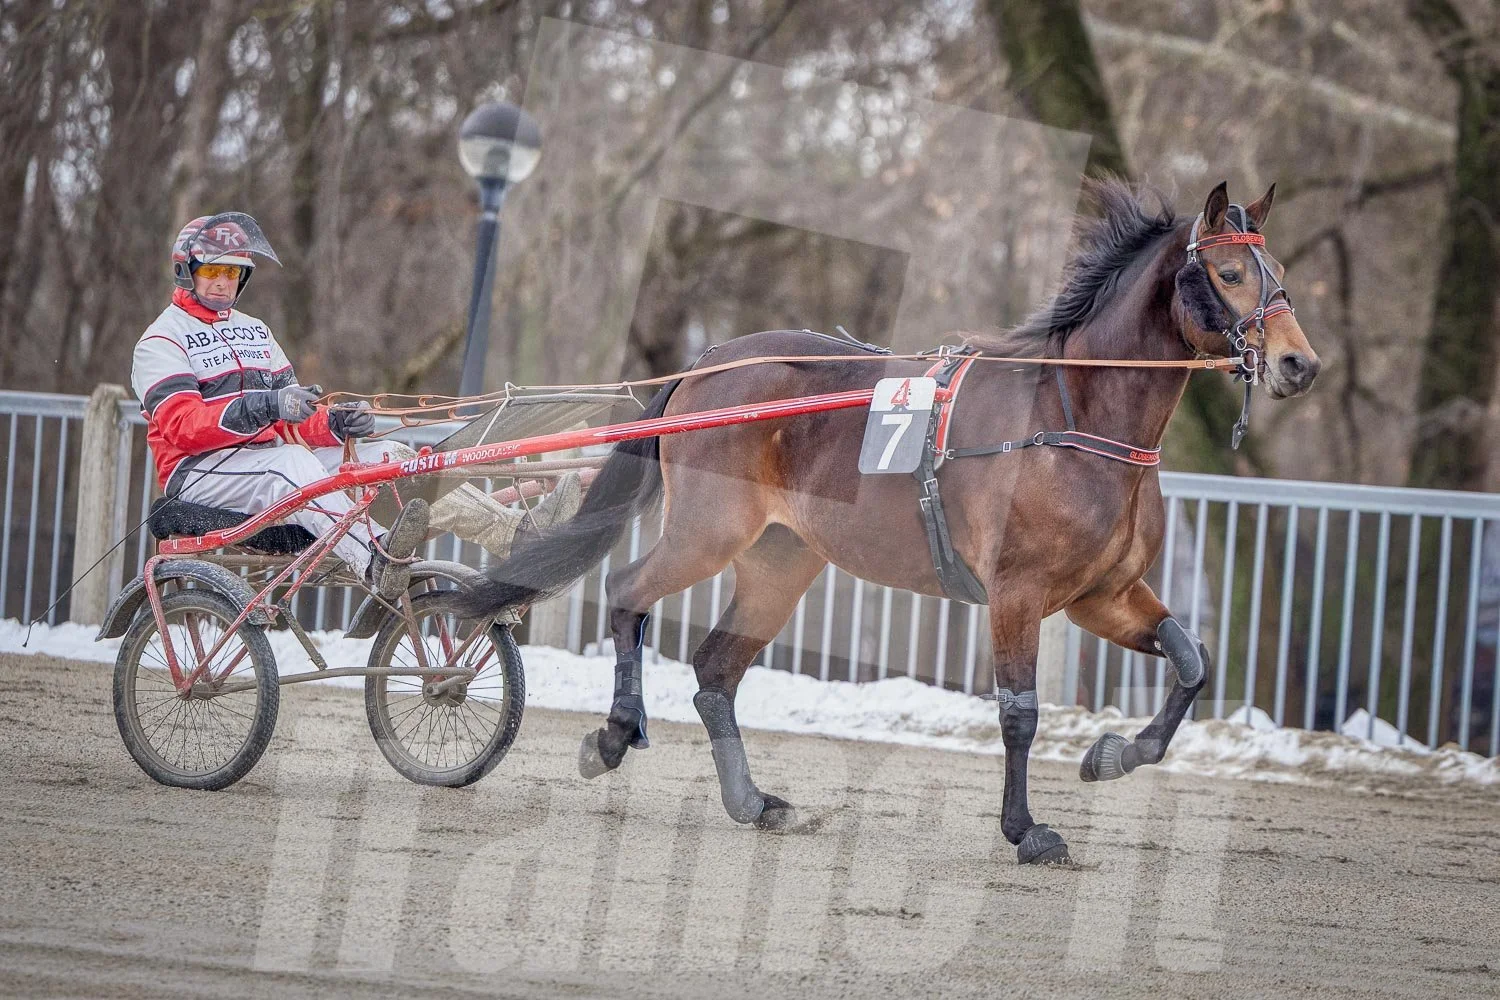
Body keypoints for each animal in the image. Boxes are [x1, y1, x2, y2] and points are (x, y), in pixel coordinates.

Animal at [460, 179, 1320, 865]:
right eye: (1230, 272)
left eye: (1280, 275)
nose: (1299, 364)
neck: (1072, 416)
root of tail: (711, 364)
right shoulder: (1018, 593)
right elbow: (1020, 714)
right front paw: (1027, 830)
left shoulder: (1100, 595)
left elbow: (1191, 661)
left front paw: (1113, 755)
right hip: (707, 532)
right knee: (630, 591)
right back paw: (614, 733)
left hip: (781, 561)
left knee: (714, 670)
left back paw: (751, 800)